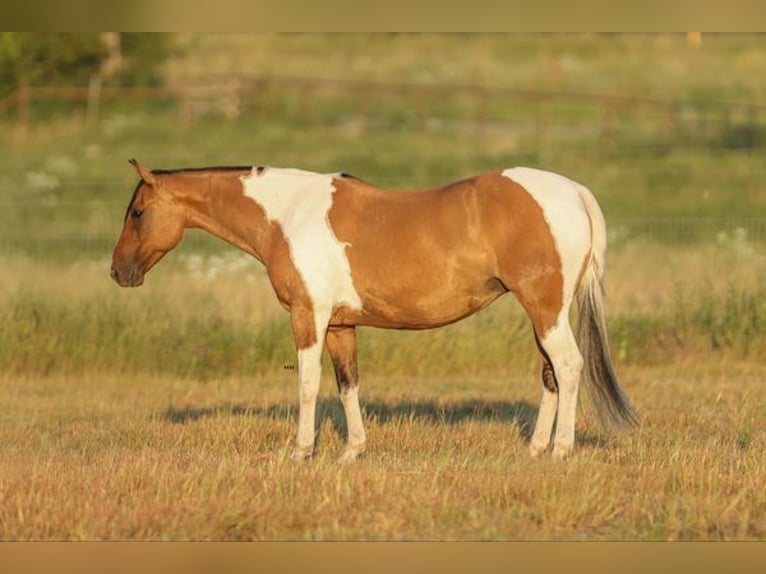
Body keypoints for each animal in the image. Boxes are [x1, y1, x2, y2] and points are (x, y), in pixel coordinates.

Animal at [111, 159, 638, 462]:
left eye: (137, 212)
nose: (119, 272)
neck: (289, 215)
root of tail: (572, 191)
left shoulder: (308, 317)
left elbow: (307, 385)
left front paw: (300, 452)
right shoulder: (341, 325)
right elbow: (348, 385)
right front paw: (352, 452)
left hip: (545, 309)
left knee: (567, 367)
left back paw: (561, 451)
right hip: (545, 313)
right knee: (551, 373)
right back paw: (535, 449)